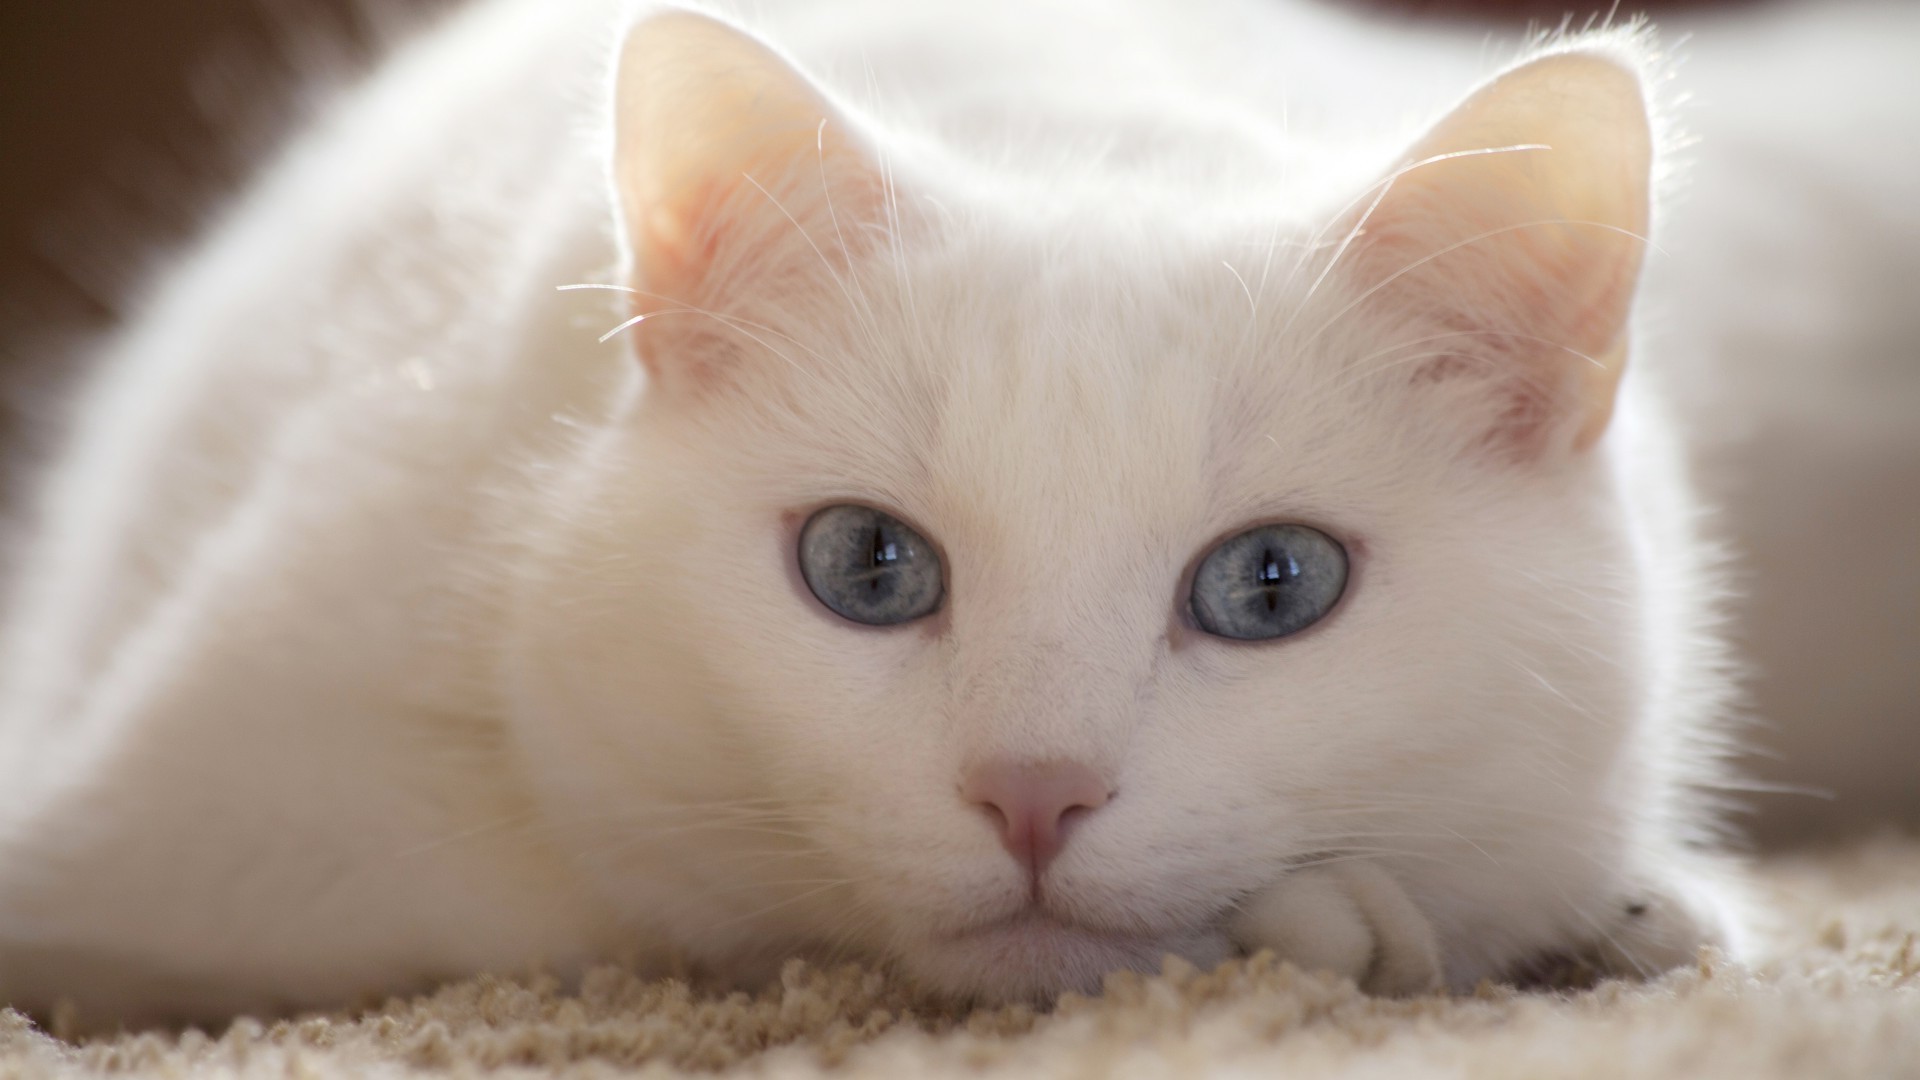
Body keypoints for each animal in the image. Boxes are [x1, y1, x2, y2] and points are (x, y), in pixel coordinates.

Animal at [0, 0, 1766, 1022]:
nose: (1034, 793)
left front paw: (1635, 916)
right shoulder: (239, 812)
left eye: (1273, 584)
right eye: (867, 567)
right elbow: (622, 884)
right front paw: (1357, 929)